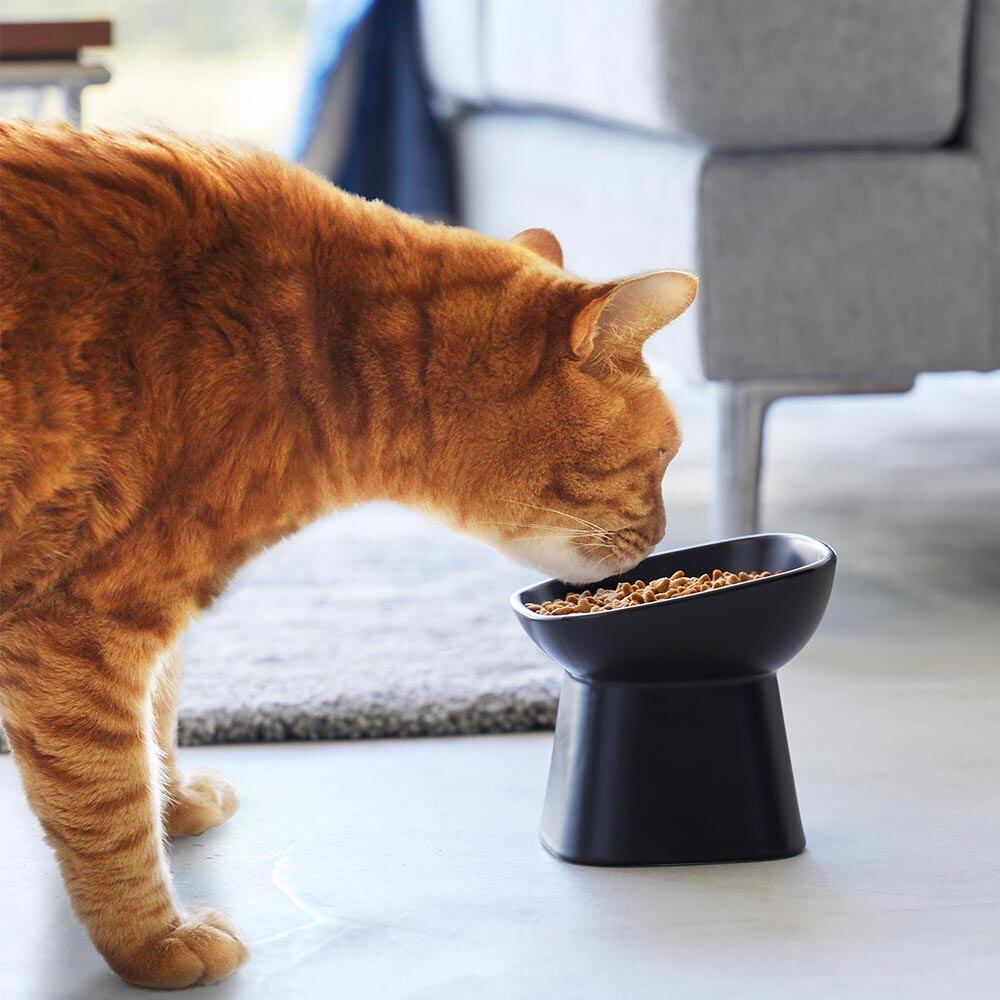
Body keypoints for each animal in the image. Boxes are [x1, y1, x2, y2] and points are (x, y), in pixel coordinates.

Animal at [0, 121, 696, 988]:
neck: (311, 349)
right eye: (665, 457)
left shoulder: (142, 614)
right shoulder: (81, 626)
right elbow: (106, 802)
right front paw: (153, 941)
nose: (664, 538)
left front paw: (173, 802)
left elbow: (156, 716)